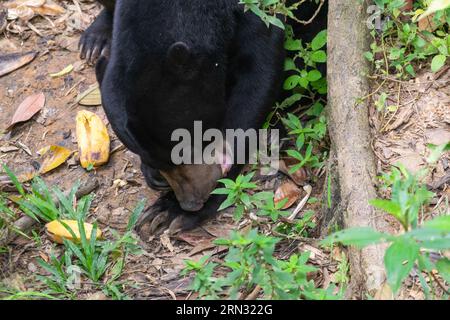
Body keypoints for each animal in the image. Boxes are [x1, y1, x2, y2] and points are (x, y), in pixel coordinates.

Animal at [80, 0, 326, 235]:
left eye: (185, 150)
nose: (191, 203)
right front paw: (156, 181)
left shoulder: (261, 12)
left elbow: (258, 76)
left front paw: (172, 211)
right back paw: (95, 40)